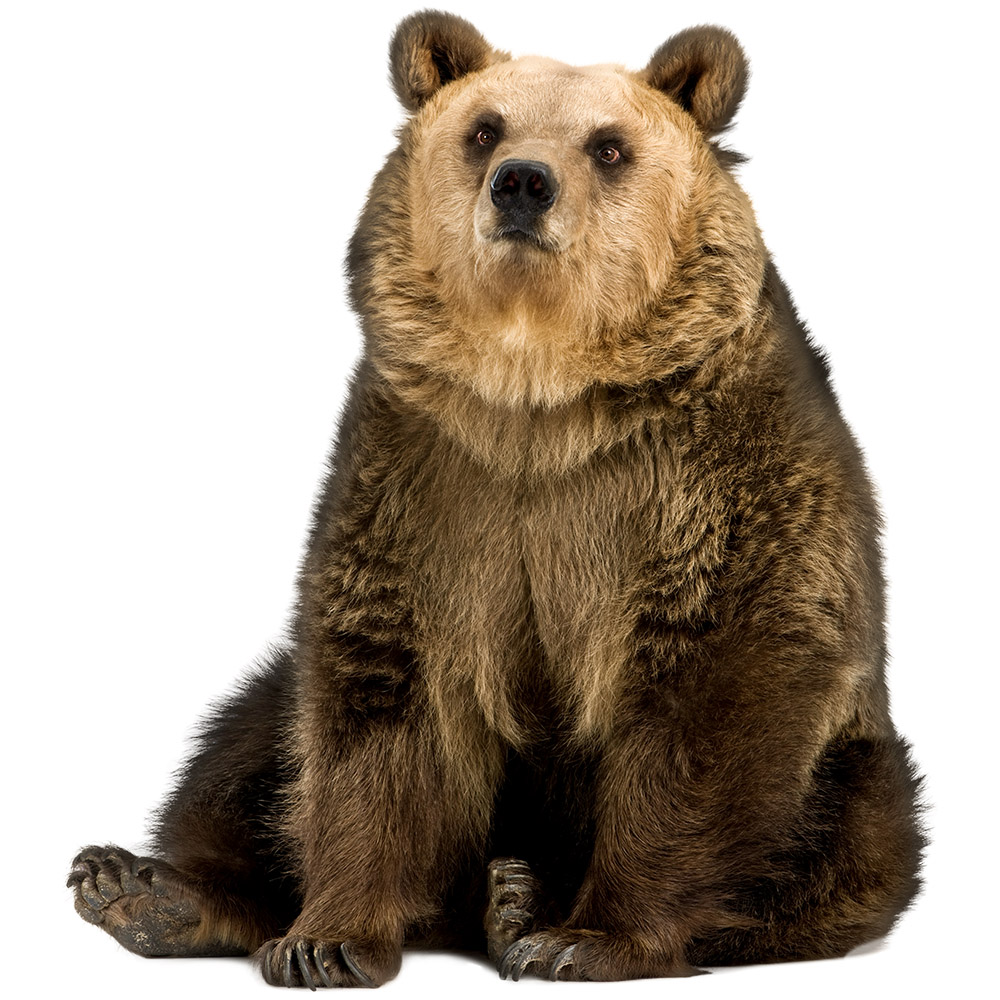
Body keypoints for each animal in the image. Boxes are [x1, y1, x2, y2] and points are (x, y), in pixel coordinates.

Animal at [68, 9, 925, 987]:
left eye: (608, 145)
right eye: (485, 129)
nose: (523, 182)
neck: (537, 396)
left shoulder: (714, 482)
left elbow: (712, 693)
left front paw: (589, 938)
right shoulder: (424, 482)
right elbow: (377, 698)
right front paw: (325, 938)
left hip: (856, 773)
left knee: (840, 837)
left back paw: (522, 900)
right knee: (249, 743)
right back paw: (147, 890)